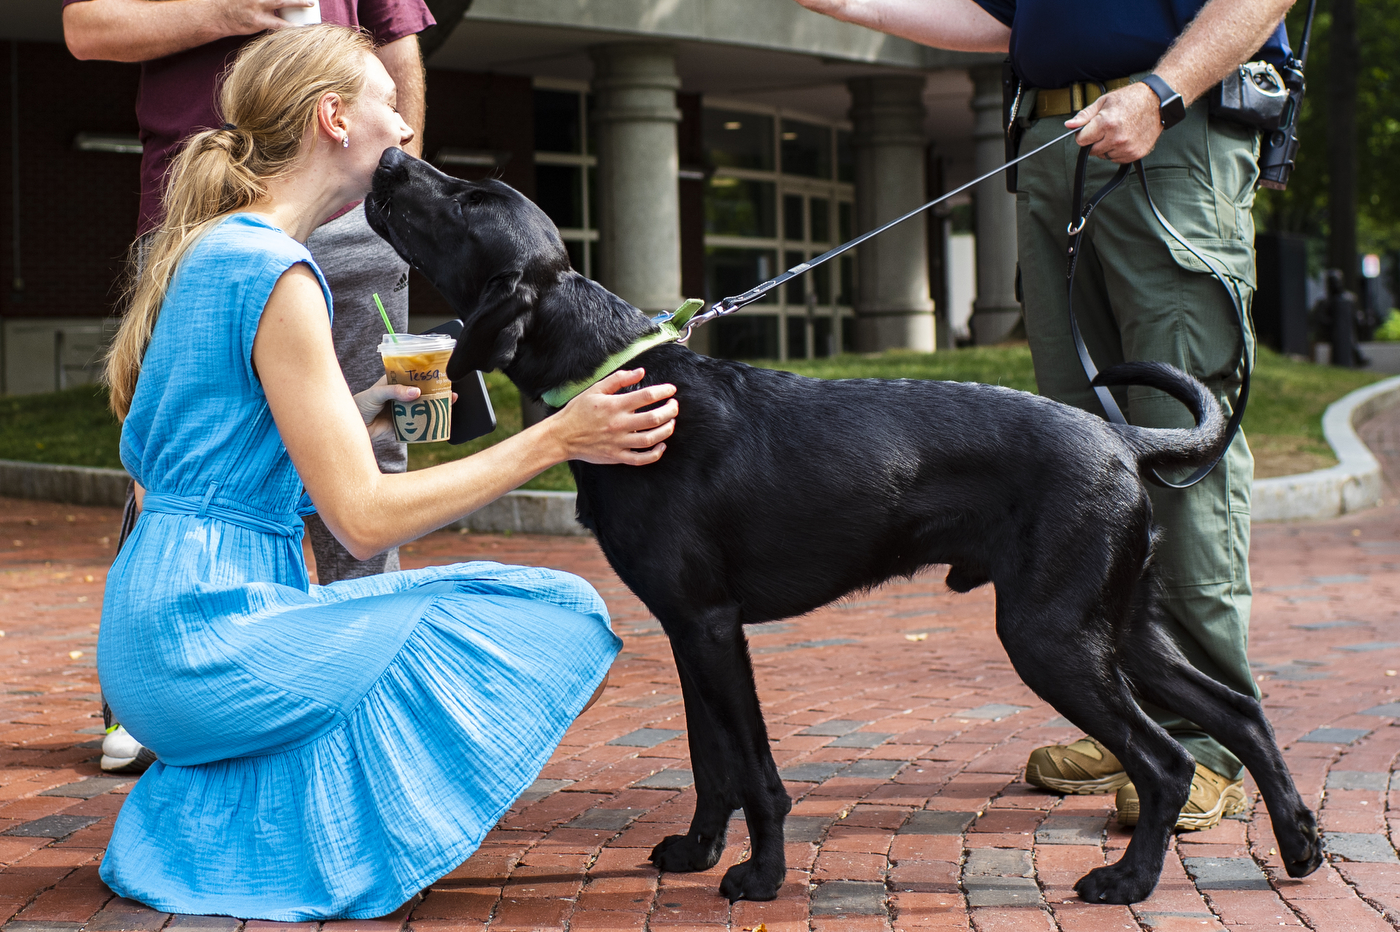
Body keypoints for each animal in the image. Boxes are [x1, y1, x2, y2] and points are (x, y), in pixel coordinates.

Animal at [364, 150, 1321, 901]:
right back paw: (1301, 843)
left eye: (471, 200)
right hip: (1122, 629)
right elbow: (708, 760)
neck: (623, 379)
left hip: (1051, 636)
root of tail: (1121, 437)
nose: (387, 160)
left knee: (1166, 761)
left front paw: (758, 877)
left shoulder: (713, 628)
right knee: (1238, 710)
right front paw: (697, 851)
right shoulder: (684, 630)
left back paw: (1130, 881)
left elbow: (754, 770)